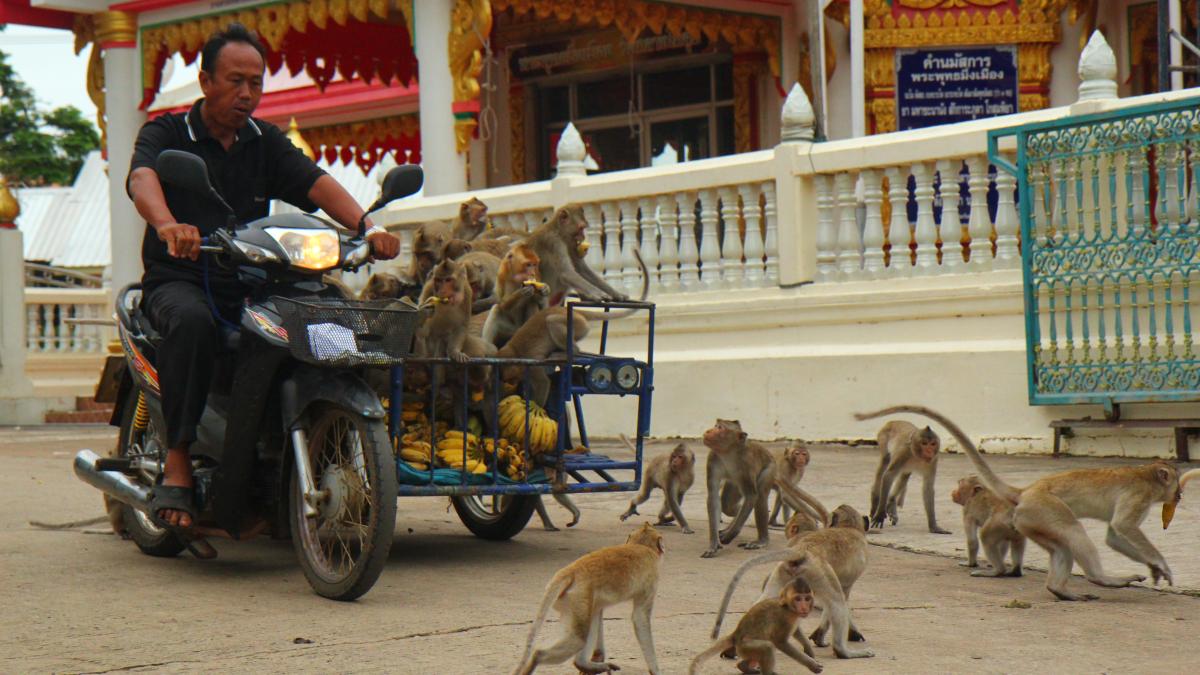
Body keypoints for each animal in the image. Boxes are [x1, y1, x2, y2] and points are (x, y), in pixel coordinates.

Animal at [513, 522, 663, 674]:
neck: (642, 545)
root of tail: (570, 571)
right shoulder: (652, 579)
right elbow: (640, 617)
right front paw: (655, 670)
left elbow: (599, 610)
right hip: (577, 596)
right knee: (577, 639)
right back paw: (538, 657)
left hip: (573, 598)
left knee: (591, 616)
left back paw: (583, 664)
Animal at [691, 578, 823, 675]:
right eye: (798, 599)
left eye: (807, 598)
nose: (804, 607)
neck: (788, 608)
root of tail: (736, 635)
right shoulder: (783, 618)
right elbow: (781, 642)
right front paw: (811, 665)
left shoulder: (794, 618)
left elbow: (795, 631)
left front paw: (808, 649)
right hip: (745, 646)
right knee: (768, 647)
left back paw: (743, 666)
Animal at [701, 419, 830, 558]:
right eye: (716, 426)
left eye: (720, 428)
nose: (708, 431)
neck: (728, 452)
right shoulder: (713, 458)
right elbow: (713, 497)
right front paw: (714, 544)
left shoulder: (747, 463)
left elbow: (753, 496)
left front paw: (729, 535)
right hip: (735, 482)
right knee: (728, 504)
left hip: (769, 469)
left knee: (759, 496)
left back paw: (761, 540)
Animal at [713, 505, 874, 660]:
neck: (850, 526)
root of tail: (803, 551)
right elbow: (841, 599)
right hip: (818, 571)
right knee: (837, 600)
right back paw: (843, 652)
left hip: (783, 571)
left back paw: (733, 648)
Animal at [857, 405, 1183, 601]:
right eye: (1176, 484)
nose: (1179, 495)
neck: (1148, 477)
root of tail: (1027, 490)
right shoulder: (1138, 496)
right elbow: (1122, 527)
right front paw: (1160, 564)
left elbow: (1115, 536)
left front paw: (1154, 568)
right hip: (1045, 509)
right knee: (1073, 532)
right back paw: (1100, 579)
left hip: (1031, 521)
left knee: (1062, 545)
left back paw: (1059, 590)